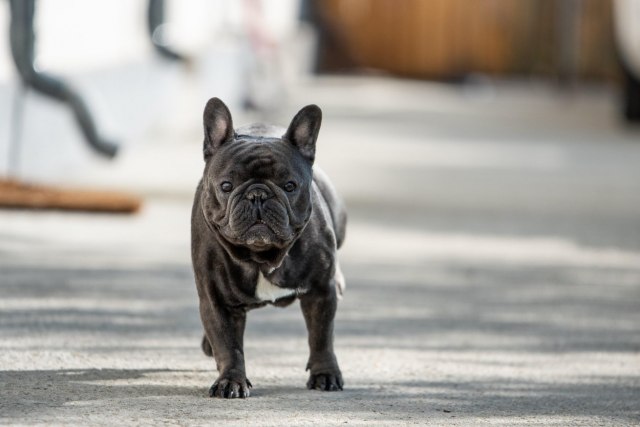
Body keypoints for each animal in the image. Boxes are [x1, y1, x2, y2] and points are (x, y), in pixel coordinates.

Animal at [192, 97, 348, 398]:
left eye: (289, 186)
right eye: (226, 186)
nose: (257, 194)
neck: (261, 256)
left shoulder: (321, 291)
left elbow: (322, 336)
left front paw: (325, 373)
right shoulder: (215, 301)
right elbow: (228, 345)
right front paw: (231, 380)